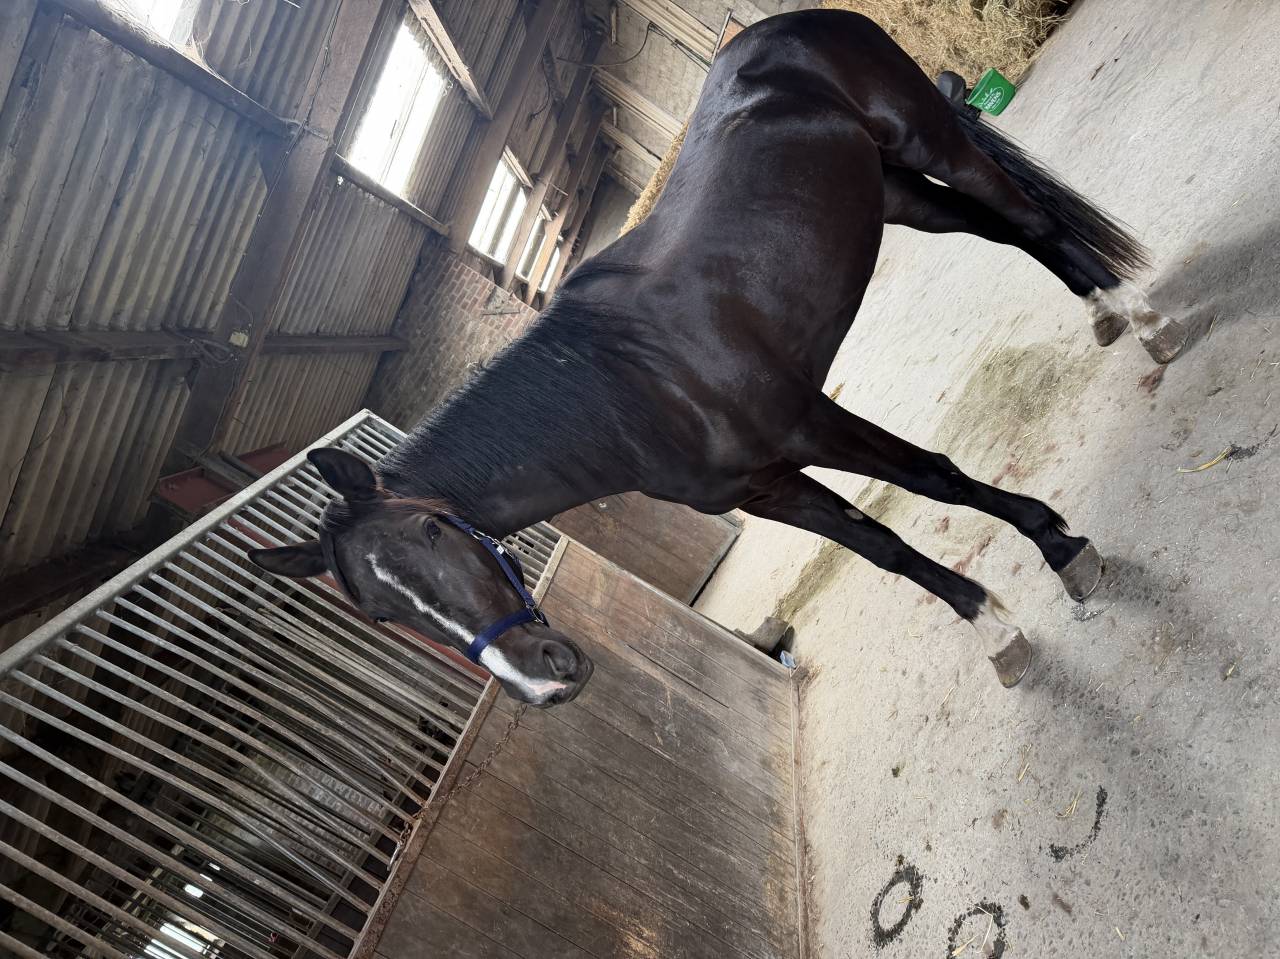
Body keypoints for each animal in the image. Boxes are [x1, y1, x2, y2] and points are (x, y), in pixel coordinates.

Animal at [250, 9, 1188, 705]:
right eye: (378, 614)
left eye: (434, 532)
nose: (545, 683)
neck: (626, 390)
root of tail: (791, 21)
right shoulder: (766, 485)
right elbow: (880, 548)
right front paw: (996, 632)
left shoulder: (813, 423)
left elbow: (937, 478)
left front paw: (1064, 549)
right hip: (895, 192)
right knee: (1007, 232)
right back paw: (1112, 317)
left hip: (928, 143)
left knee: (1030, 219)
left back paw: (1147, 321)